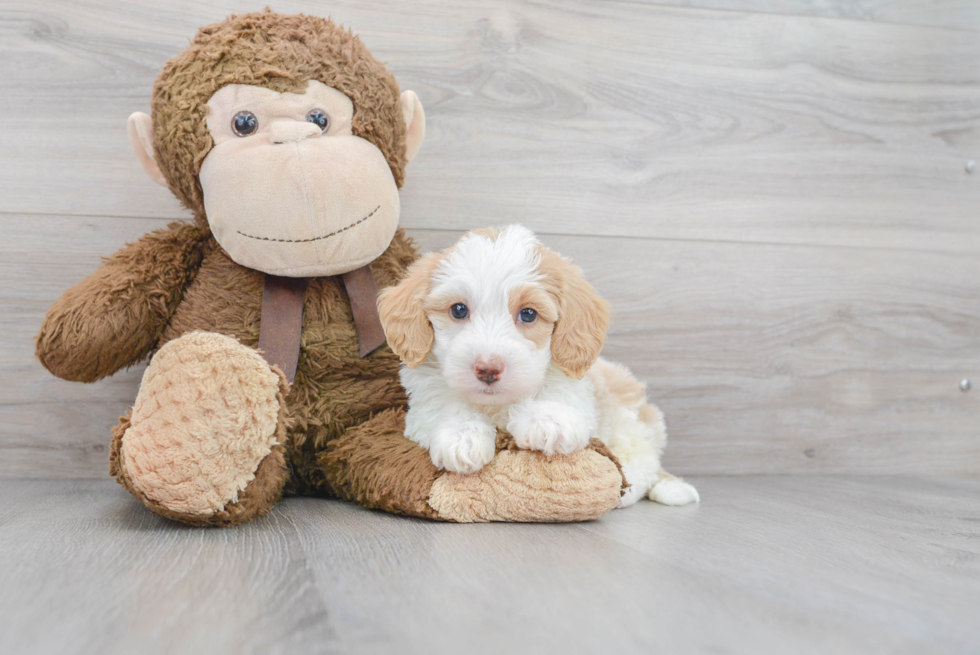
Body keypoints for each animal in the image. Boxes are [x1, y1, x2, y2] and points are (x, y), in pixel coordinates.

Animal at [378, 226, 700, 508]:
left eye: (529, 314)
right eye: (458, 310)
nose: (487, 369)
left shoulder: (579, 394)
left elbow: (555, 395)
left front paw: (547, 420)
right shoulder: (423, 402)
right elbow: (446, 404)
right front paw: (462, 436)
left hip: (634, 425)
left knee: (646, 466)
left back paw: (661, 489)